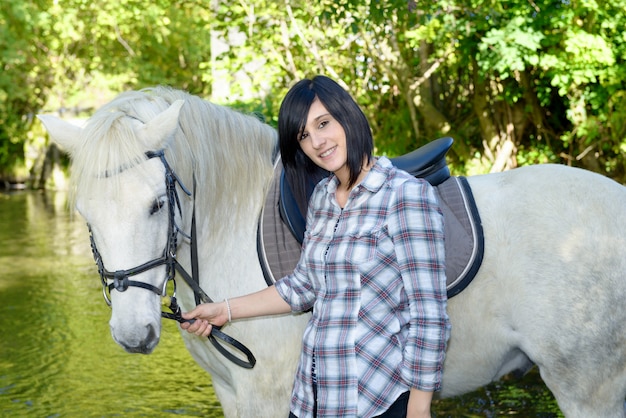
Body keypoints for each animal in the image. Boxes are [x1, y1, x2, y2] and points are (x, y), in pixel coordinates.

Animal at [40, 86, 624, 416]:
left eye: (158, 204)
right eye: (85, 214)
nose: (133, 334)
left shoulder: (267, 397)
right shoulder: (233, 394)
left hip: (588, 389)